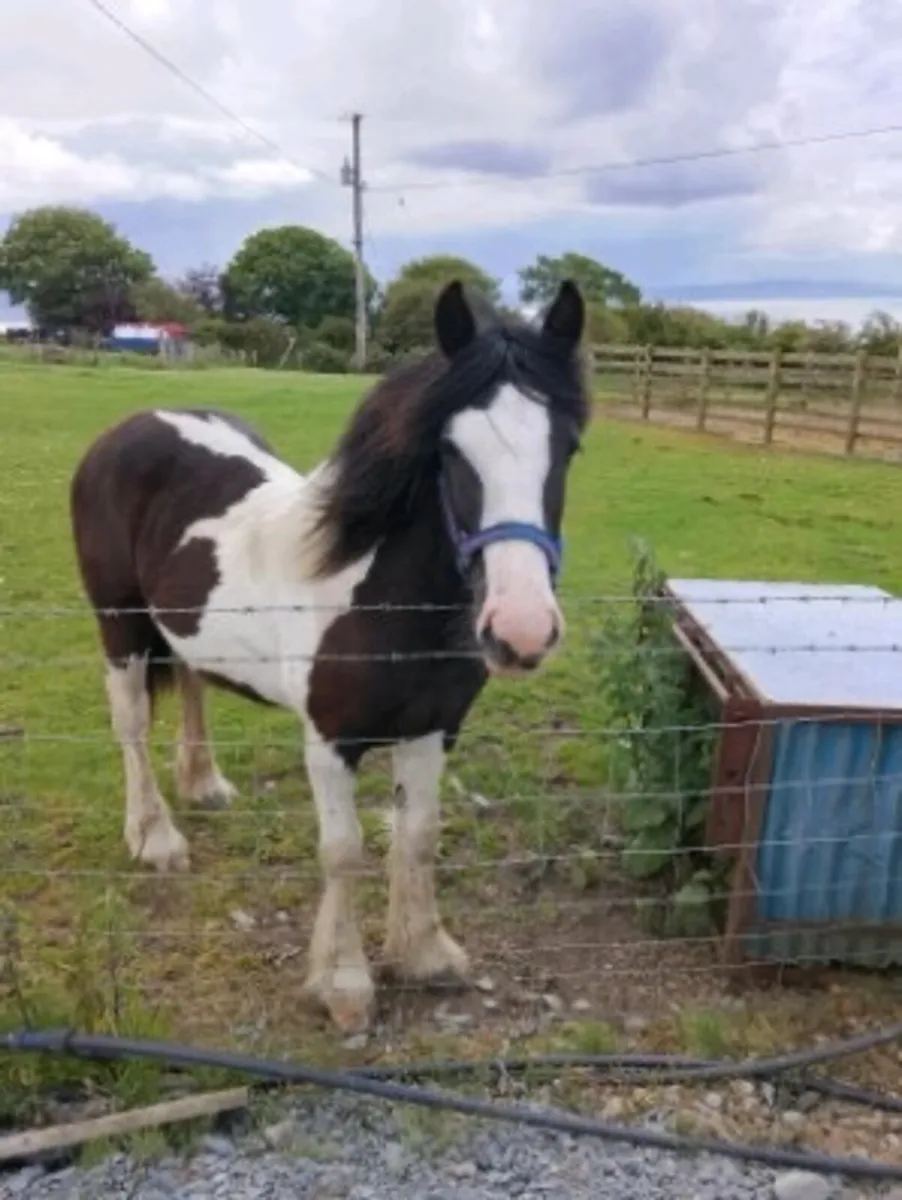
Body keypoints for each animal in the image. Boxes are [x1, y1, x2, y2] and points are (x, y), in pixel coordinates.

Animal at [69, 278, 590, 1032]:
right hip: (121, 629)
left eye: (569, 447)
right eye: (449, 451)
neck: (385, 600)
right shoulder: (329, 742)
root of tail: (129, 426)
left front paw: (423, 954)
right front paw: (344, 984)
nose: (521, 630)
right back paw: (154, 838)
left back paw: (204, 784)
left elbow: (418, 834)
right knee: (131, 726)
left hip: (181, 626)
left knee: (193, 681)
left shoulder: (434, 729)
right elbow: (343, 853)